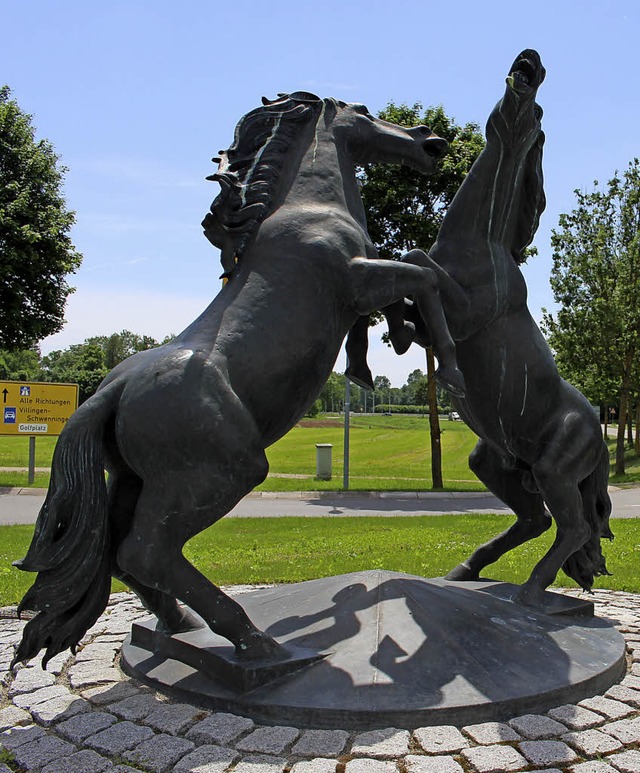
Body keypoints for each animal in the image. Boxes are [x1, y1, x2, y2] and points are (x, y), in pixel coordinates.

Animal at [15, 92, 462, 664]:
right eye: (363, 110)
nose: (431, 141)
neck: (306, 209)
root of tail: (110, 394)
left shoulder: (366, 281)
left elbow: (416, 264)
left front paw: (394, 344)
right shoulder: (358, 279)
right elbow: (421, 272)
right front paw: (445, 363)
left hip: (137, 481)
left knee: (118, 553)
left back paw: (181, 625)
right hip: (220, 474)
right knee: (146, 553)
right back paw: (253, 641)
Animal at [404, 49, 608, 608]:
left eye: (537, 115)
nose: (530, 64)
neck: (480, 243)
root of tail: (601, 432)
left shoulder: (465, 312)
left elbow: (419, 264)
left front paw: (449, 371)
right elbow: (409, 274)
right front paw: (397, 333)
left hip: (554, 470)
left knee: (575, 527)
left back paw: (532, 591)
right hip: (493, 461)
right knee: (536, 520)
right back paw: (467, 569)